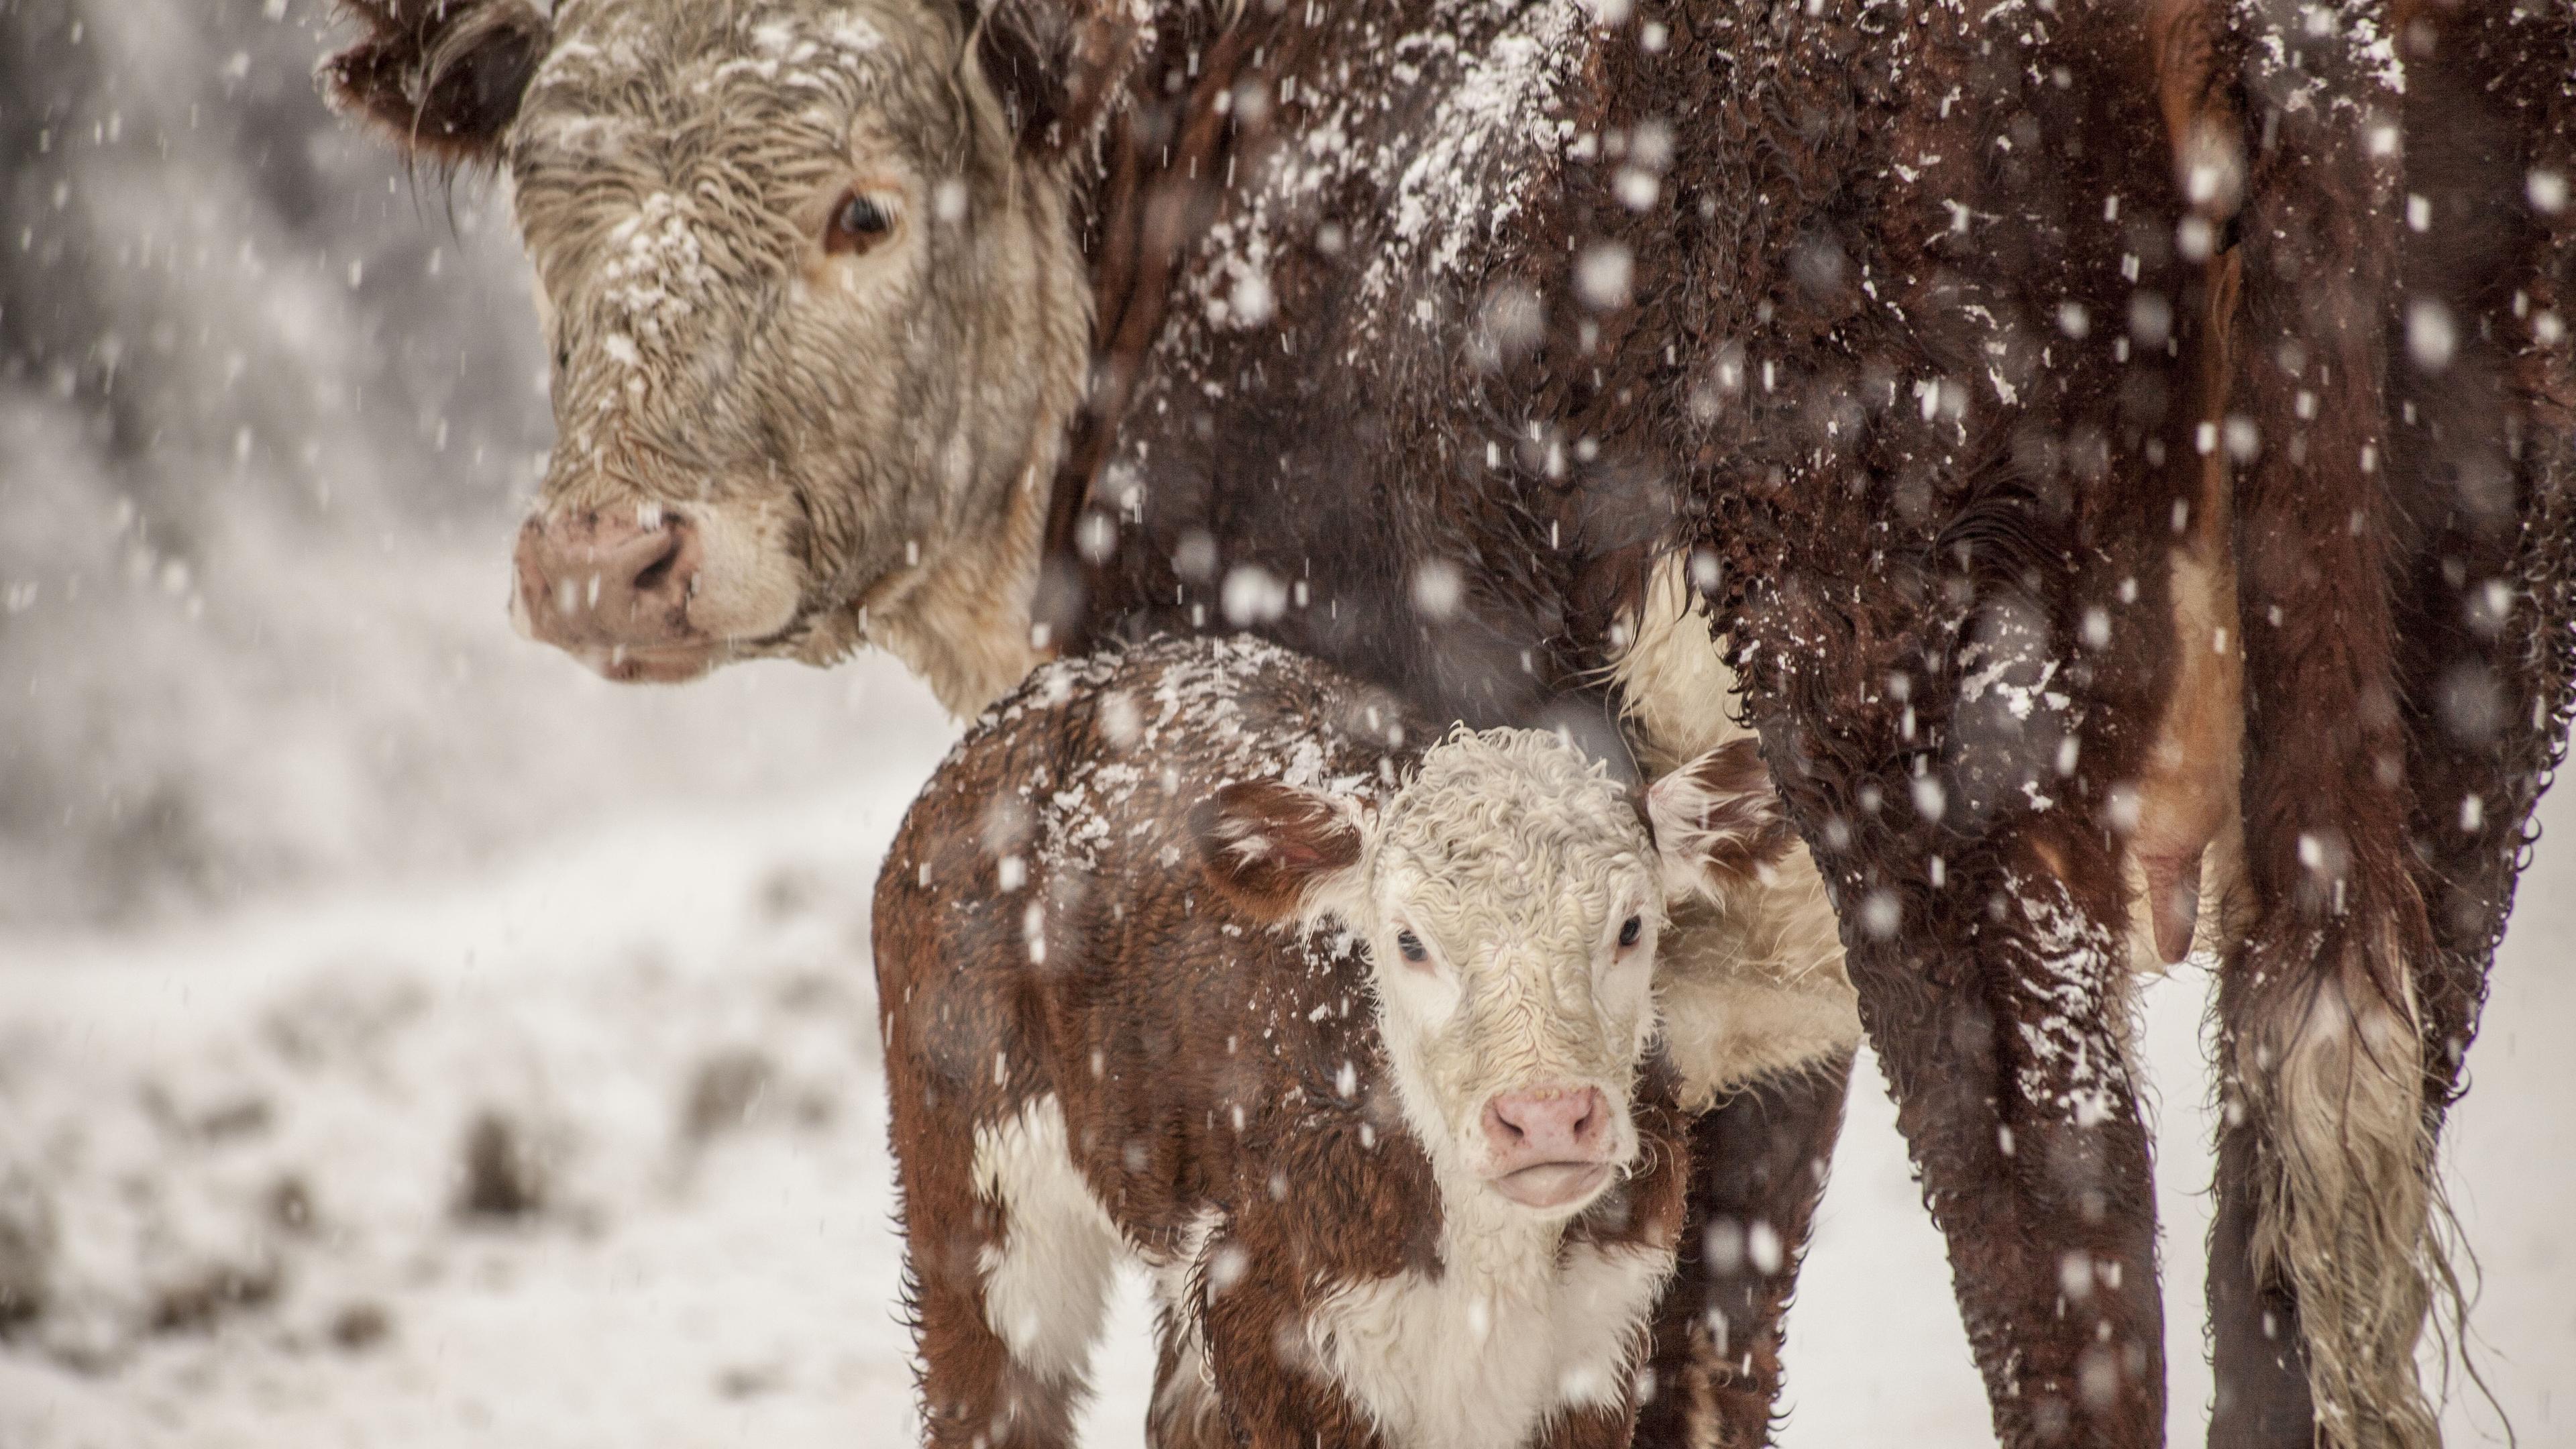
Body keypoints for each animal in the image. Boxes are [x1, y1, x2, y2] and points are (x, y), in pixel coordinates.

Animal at [875, 634, 1782, 1444]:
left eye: (1631, 927)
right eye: (1410, 941)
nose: (1548, 1117)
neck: (1493, 1267)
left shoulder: (1600, 1333)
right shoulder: (1275, 1322)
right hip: (975, 1175)